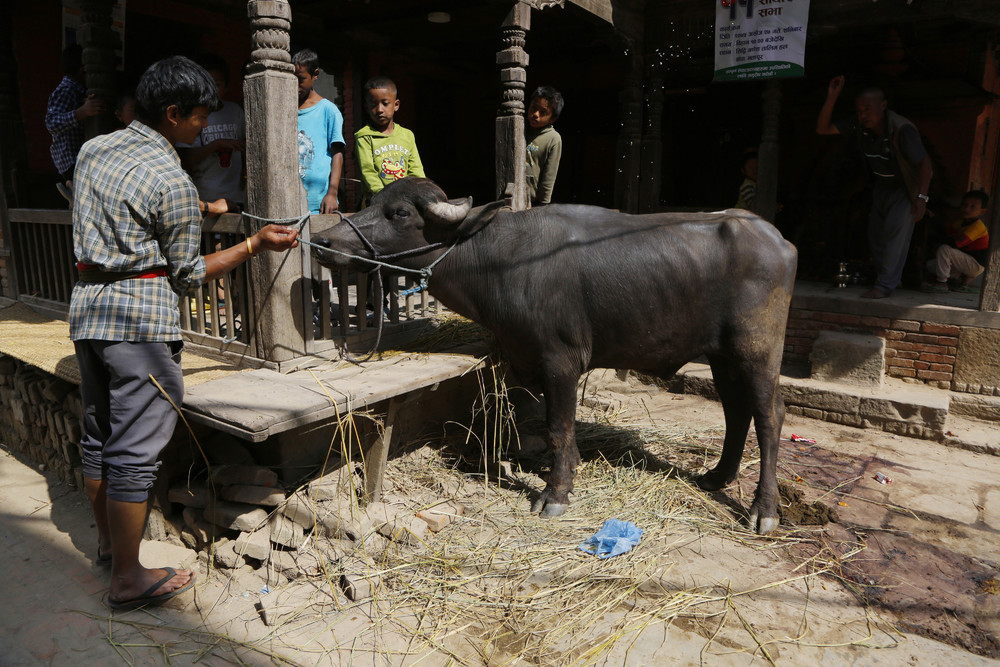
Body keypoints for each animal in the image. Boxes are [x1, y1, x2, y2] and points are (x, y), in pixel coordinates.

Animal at [312, 180, 796, 536]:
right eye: (372, 202)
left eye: (400, 213)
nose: (321, 241)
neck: (498, 259)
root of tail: (778, 240)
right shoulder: (523, 358)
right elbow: (539, 425)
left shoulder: (560, 361)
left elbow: (559, 426)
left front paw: (556, 492)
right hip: (721, 355)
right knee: (736, 411)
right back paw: (716, 476)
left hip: (757, 350)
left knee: (769, 414)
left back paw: (763, 509)